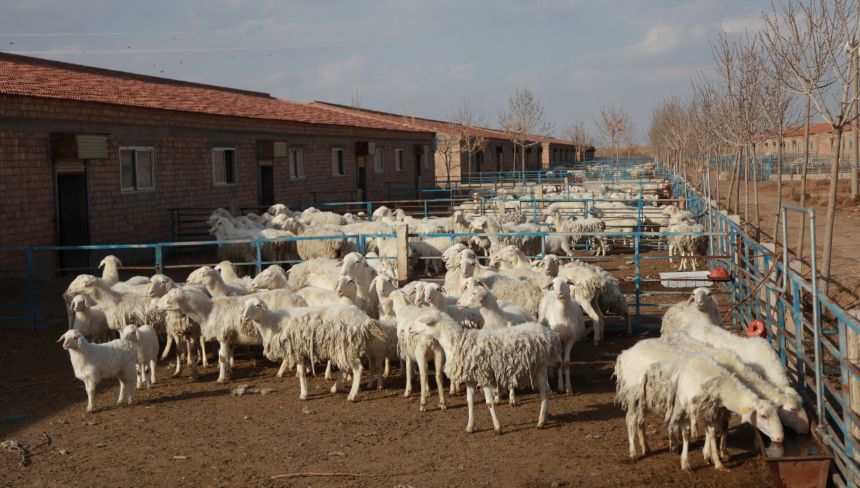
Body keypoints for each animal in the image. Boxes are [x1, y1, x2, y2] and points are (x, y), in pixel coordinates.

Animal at [239, 298, 370, 400]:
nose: (244, 316)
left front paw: (303, 394)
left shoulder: (297, 349)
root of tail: (362, 316)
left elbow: (301, 373)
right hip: (341, 348)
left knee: (357, 369)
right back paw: (335, 388)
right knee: (347, 369)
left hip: (347, 345)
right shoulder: (301, 350)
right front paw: (305, 390)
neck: (272, 322)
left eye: (257, 305)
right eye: (245, 305)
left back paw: (352, 395)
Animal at [406, 310, 560, 432]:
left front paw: (497, 427)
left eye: (422, 320)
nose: (409, 328)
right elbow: (469, 402)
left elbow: (489, 403)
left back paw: (541, 422)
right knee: (545, 392)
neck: (458, 342)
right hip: (537, 367)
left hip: (541, 367)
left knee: (544, 394)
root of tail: (550, 333)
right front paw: (470, 427)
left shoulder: (484, 376)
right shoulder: (470, 378)